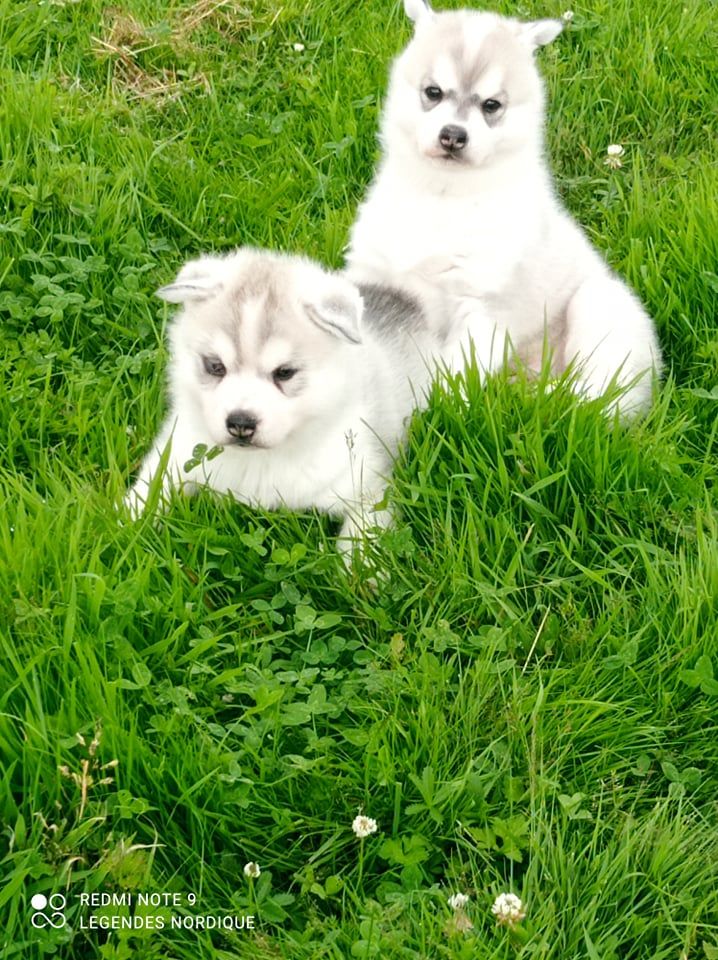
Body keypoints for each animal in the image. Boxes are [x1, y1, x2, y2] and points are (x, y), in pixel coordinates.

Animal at [124, 246, 438, 548]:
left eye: (284, 372)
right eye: (215, 366)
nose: (240, 423)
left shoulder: (369, 489)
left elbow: (361, 544)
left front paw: (355, 567)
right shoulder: (177, 449)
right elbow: (148, 489)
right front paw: (121, 526)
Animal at [348, 0, 664, 416]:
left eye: (491, 105)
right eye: (433, 92)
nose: (453, 135)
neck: (445, 196)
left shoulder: (484, 307)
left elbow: (453, 377)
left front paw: (439, 413)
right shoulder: (376, 277)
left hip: (602, 305)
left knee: (593, 399)